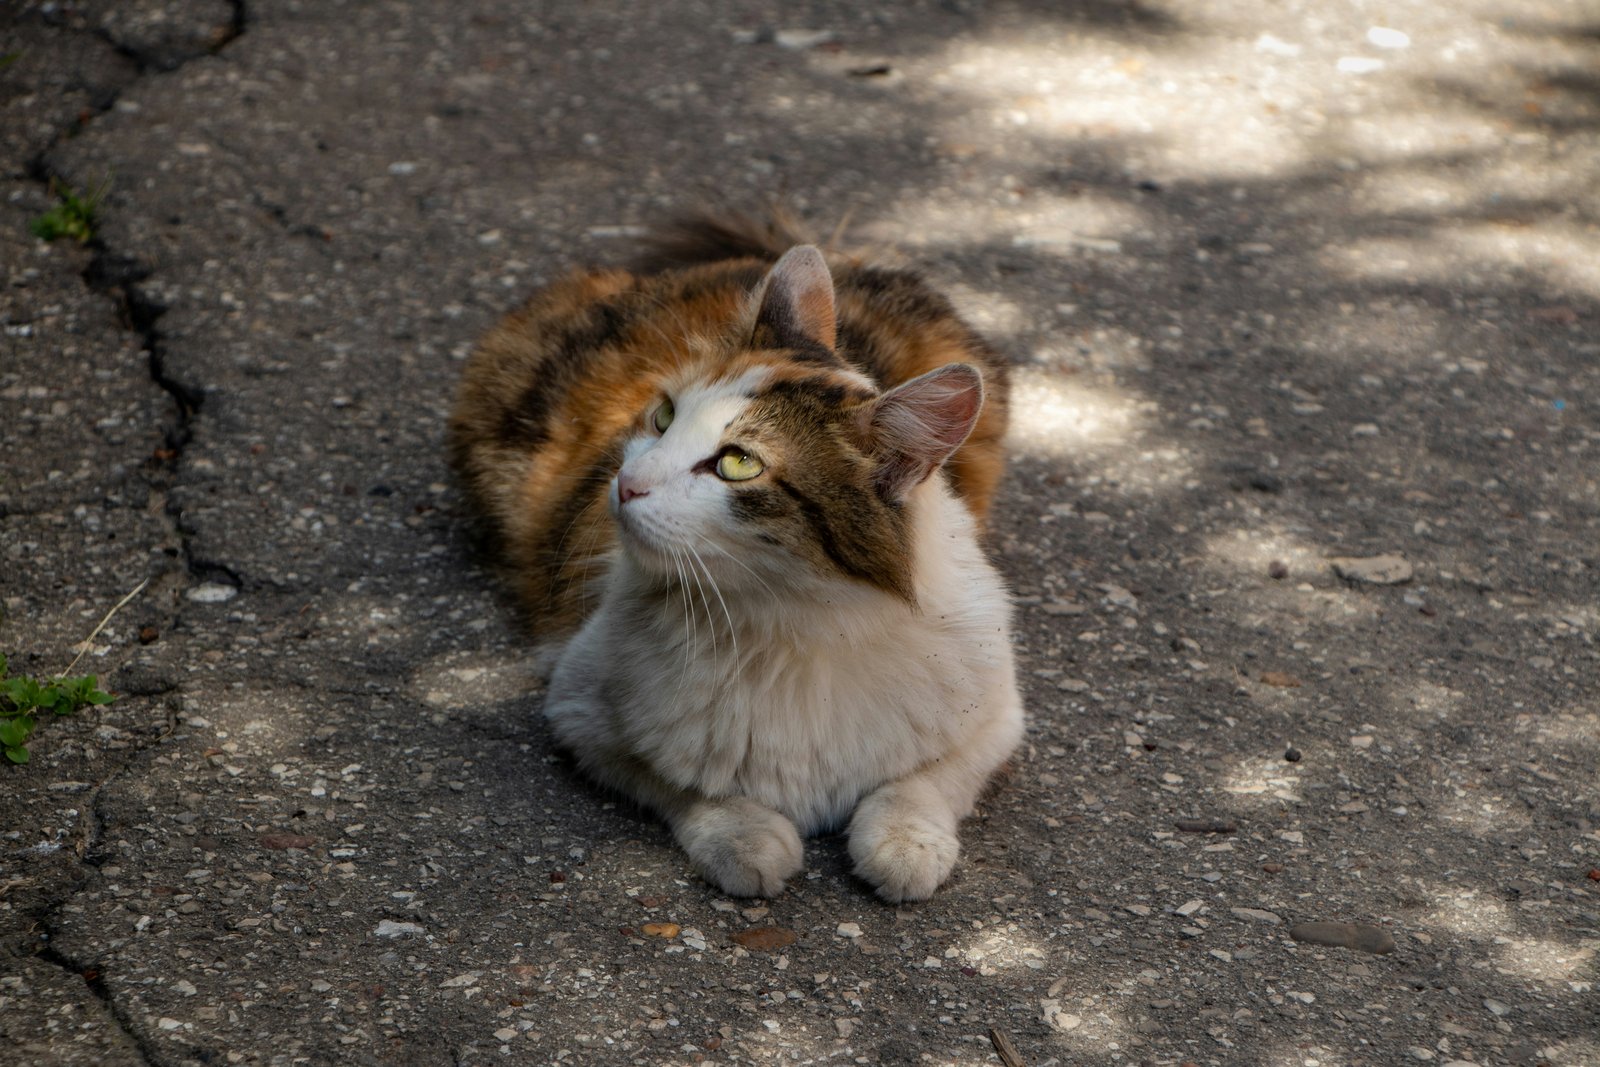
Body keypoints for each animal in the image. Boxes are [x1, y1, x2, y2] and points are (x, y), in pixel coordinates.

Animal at [448, 217, 1024, 902]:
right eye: (664, 415)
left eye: (738, 463)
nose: (626, 484)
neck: (798, 626)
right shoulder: (577, 707)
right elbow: (683, 786)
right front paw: (745, 837)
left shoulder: (996, 715)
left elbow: (925, 783)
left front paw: (906, 846)